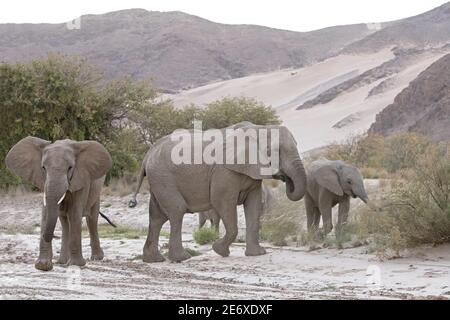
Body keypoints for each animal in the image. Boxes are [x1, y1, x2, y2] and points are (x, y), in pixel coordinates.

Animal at [4, 136, 112, 272]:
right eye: (43, 168)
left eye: (70, 168)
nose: (50, 236)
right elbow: (45, 213)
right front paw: (43, 265)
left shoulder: (81, 179)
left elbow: (75, 213)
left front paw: (76, 264)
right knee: (65, 221)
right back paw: (62, 261)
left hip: (96, 190)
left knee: (91, 219)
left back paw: (96, 258)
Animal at [132, 120, 304, 262]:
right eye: (273, 150)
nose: (285, 177)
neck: (258, 128)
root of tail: (148, 154)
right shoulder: (224, 171)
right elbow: (222, 202)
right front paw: (220, 250)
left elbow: (253, 206)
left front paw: (257, 254)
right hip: (163, 177)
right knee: (176, 210)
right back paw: (181, 258)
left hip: (158, 179)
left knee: (157, 217)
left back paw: (153, 260)